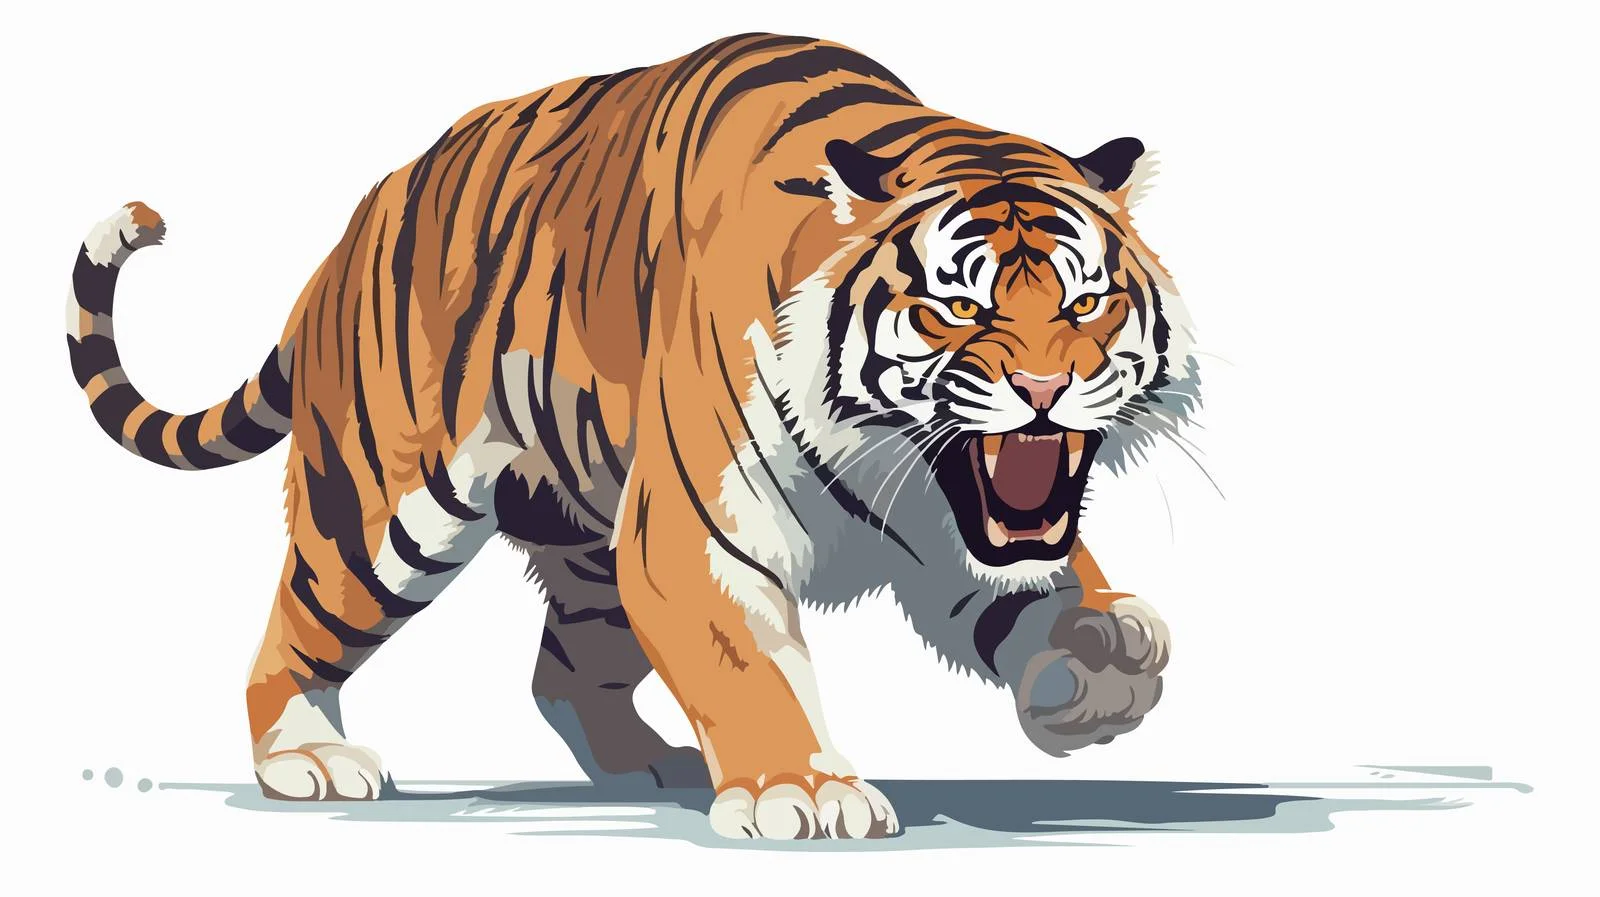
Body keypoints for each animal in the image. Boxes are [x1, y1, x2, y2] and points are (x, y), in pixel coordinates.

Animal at [65, 33, 1195, 840]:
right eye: (958, 307)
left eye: (1087, 301)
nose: (1047, 389)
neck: (898, 461)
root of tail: (339, 248)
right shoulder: (698, 535)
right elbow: (749, 666)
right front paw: (801, 788)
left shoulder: (953, 522)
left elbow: (1034, 585)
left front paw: (1100, 654)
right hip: (376, 509)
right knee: (291, 635)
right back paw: (308, 759)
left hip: (590, 547)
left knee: (562, 672)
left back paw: (656, 764)